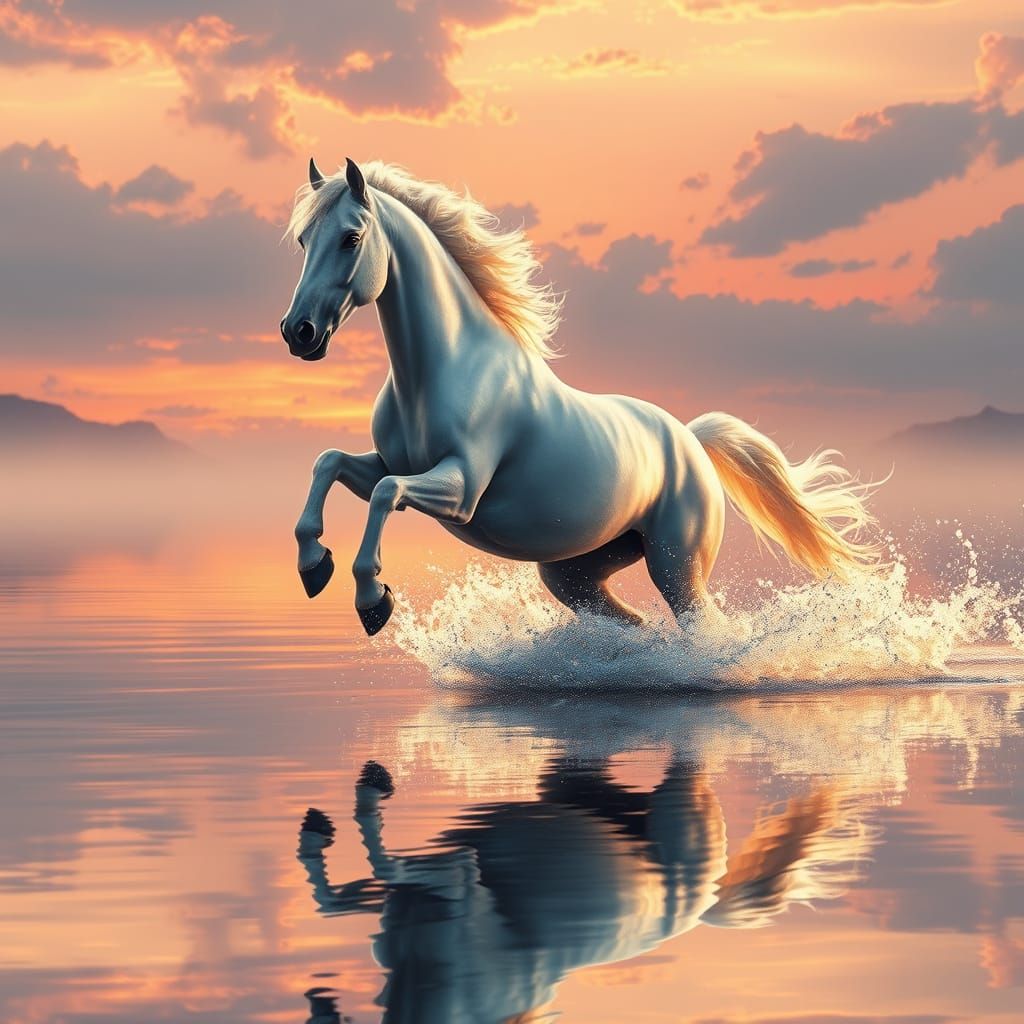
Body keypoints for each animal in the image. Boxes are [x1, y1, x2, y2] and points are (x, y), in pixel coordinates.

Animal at [281, 158, 879, 635]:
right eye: (304, 241)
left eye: (351, 237)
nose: (299, 333)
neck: (442, 372)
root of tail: (690, 440)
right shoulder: (389, 462)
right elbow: (330, 463)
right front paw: (314, 565)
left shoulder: (461, 489)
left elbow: (384, 494)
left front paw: (372, 600)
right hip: (574, 574)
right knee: (638, 625)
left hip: (676, 567)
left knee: (708, 630)